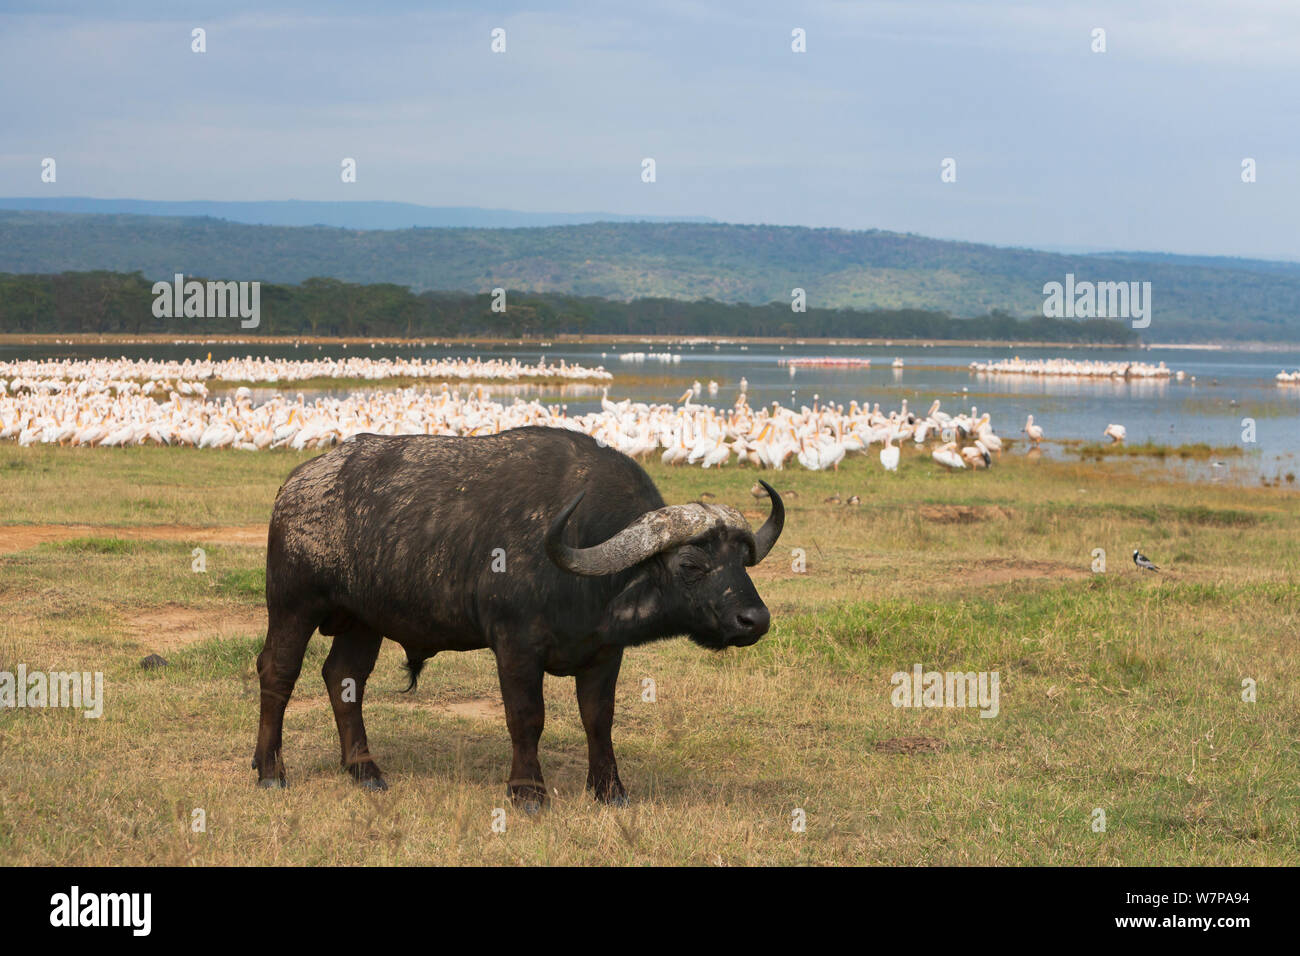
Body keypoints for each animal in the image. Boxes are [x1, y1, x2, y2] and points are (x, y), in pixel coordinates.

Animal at [252, 426, 780, 806]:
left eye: (742, 560)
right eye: (690, 565)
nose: (755, 620)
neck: (583, 567)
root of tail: (293, 487)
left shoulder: (605, 653)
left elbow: (599, 719)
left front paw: (609, 789)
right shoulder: (516, 647)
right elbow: (527, 718)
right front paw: (528, 791)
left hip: (364, 620)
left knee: (345, 679)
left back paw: (364, 769)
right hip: (292, 603)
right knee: (277, 672)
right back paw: (271, 770)